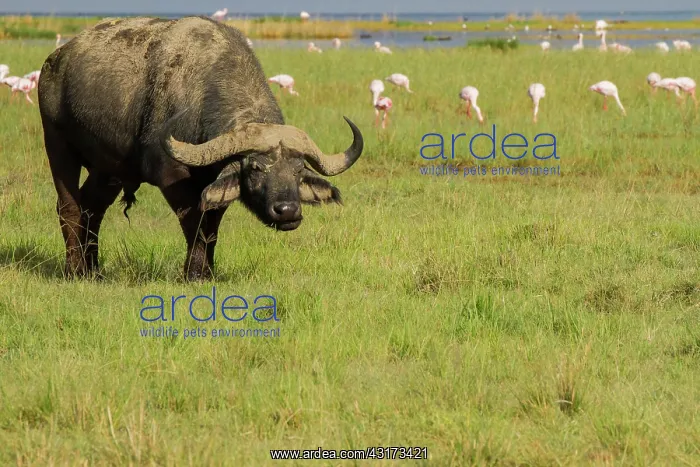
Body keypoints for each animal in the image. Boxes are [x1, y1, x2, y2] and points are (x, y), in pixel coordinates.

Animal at [38, 16, 363, 281]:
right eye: (255, 168)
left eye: (297, 170)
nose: (287, 211)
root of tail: (55, 59)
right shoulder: (172, 177)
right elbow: (194, 225)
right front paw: (193, 274)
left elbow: (211, 229)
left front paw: (207, 272)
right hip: (57, 144)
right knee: (69, 206)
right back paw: (75, 270)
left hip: (109, 167)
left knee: (93, 207)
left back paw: (94, 269)